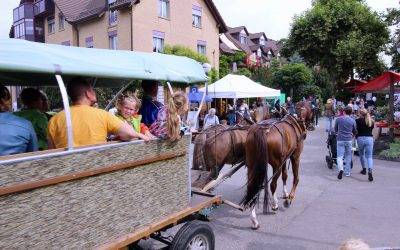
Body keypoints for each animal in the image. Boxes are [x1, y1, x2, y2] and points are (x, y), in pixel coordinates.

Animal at [241, 101, 312, 229]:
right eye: (312, 109)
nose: (311, 126)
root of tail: (261, 131)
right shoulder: (295, 156)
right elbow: (295, 178)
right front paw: (289, 198)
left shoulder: (284, 158)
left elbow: (285, 176)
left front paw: (285, 193)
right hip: (276, 164)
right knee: (273, 184)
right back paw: (274, 204)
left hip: (252, 165)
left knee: (252, 186)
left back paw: (254, 219)